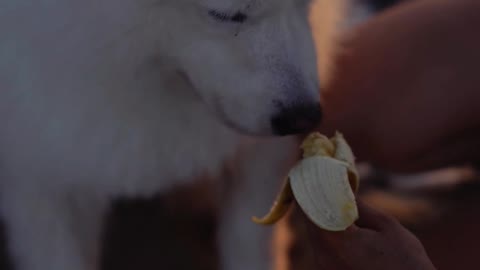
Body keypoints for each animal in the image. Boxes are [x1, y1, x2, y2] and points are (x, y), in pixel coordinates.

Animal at [0, 0, 390, 268]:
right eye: (226, 16)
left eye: (306, 2)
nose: (303, 117)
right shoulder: (46, 175)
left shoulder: (255, 159)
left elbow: (248, 240)